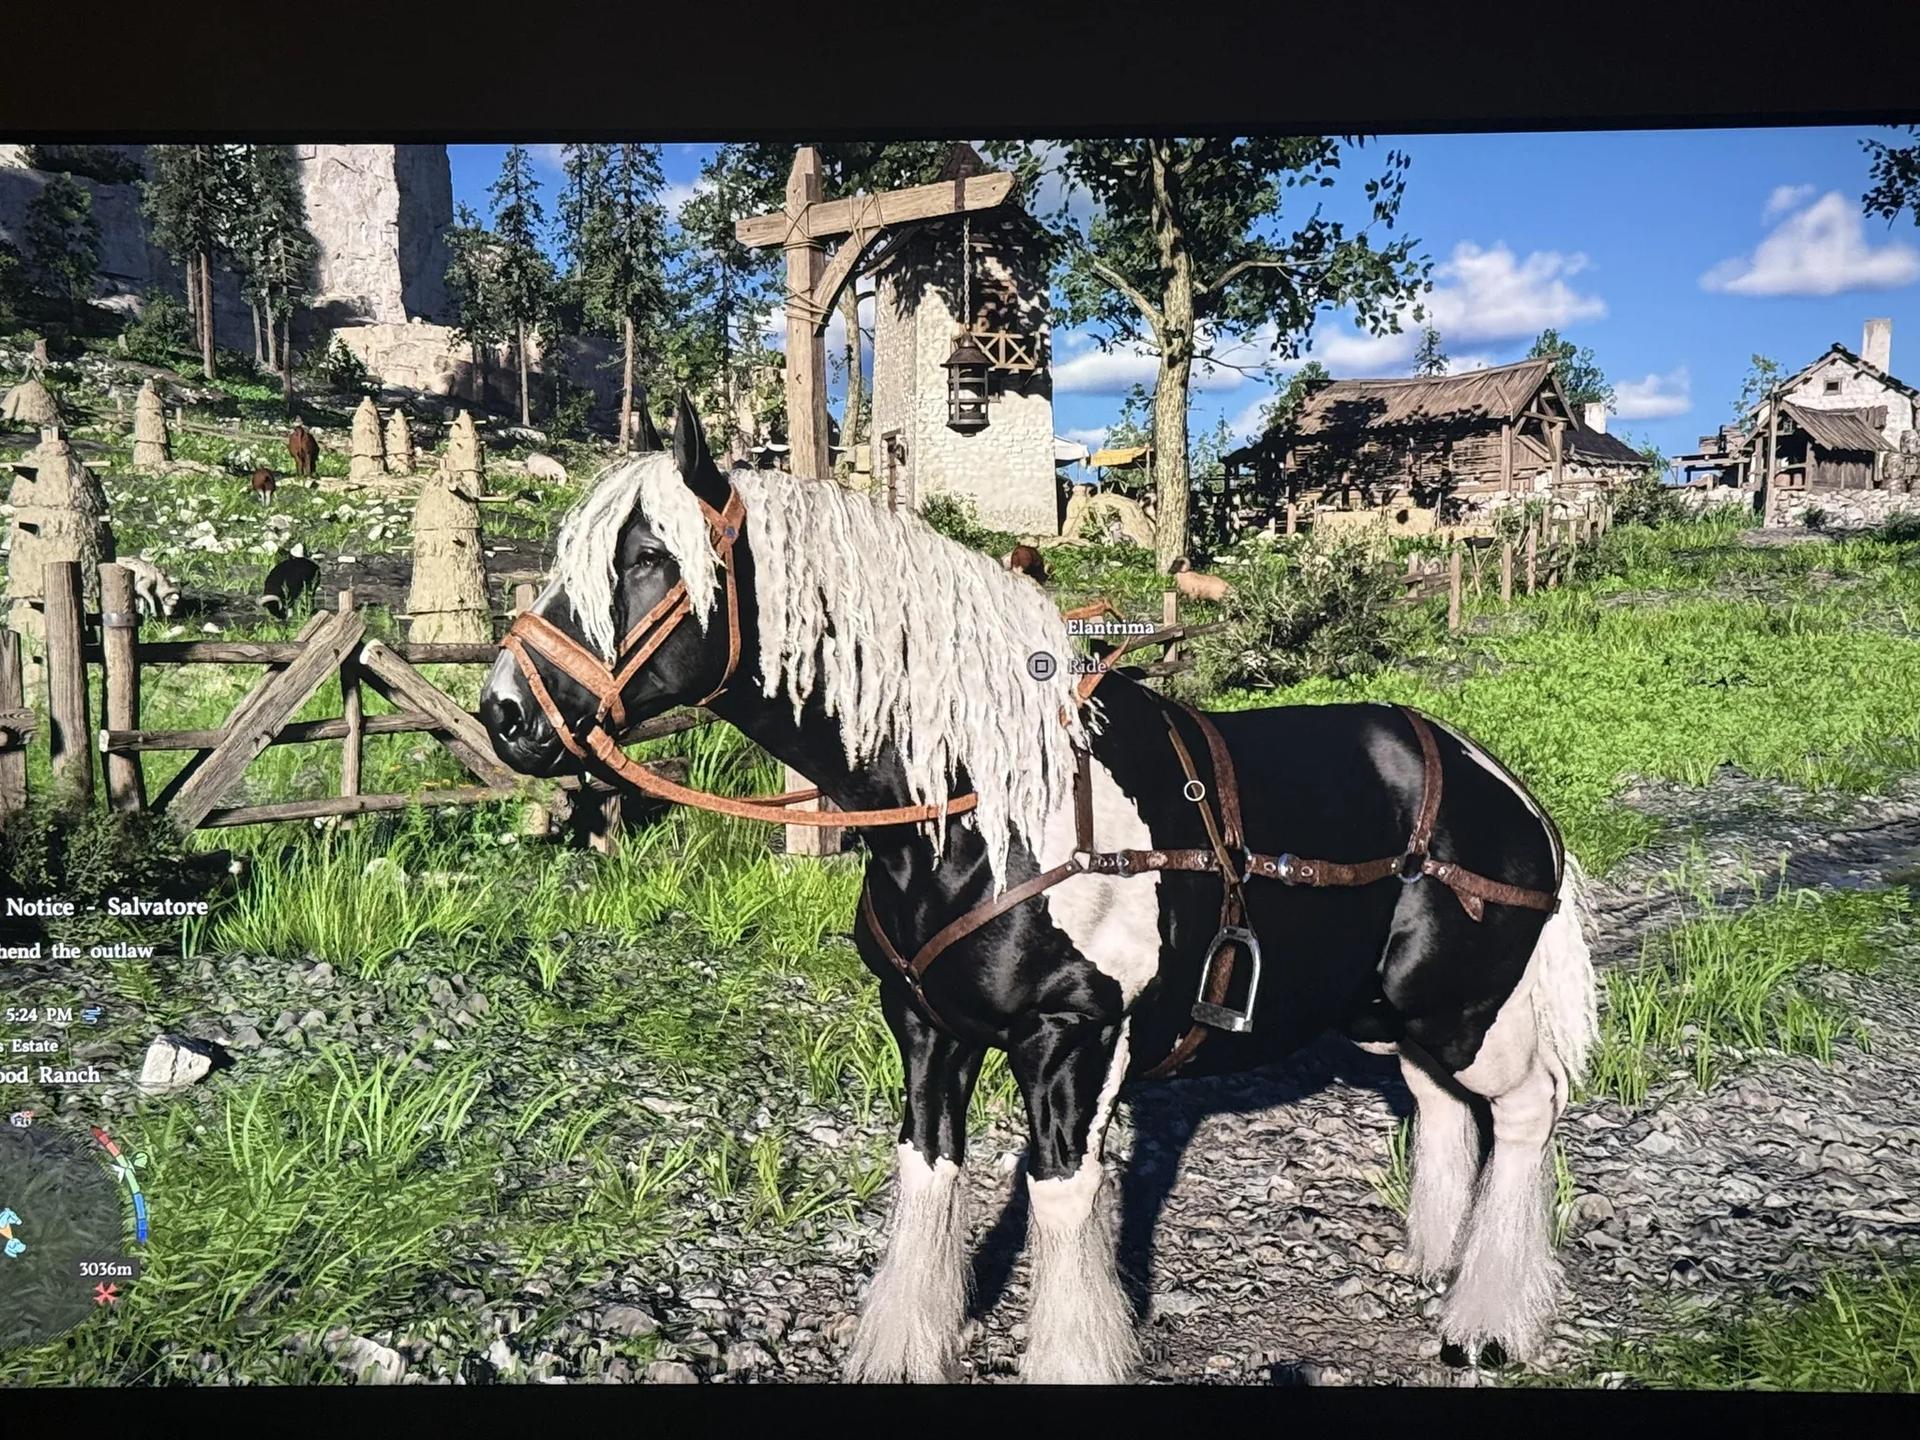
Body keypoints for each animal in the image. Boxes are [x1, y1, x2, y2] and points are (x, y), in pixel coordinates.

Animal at [478, 396, 1597, 1385]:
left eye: (647, 558)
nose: (505, 714)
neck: (985, 802)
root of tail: (1498, 784)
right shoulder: (924, 1026)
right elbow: (928, 1173)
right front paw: (906, 1348)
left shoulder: (1074, 1038)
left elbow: (1061, 1199)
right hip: (1388, 1012)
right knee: (1440, 1104)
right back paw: (1436, 1260)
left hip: (1464, 1009)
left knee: (1525, 1109)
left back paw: (1490, 1320)